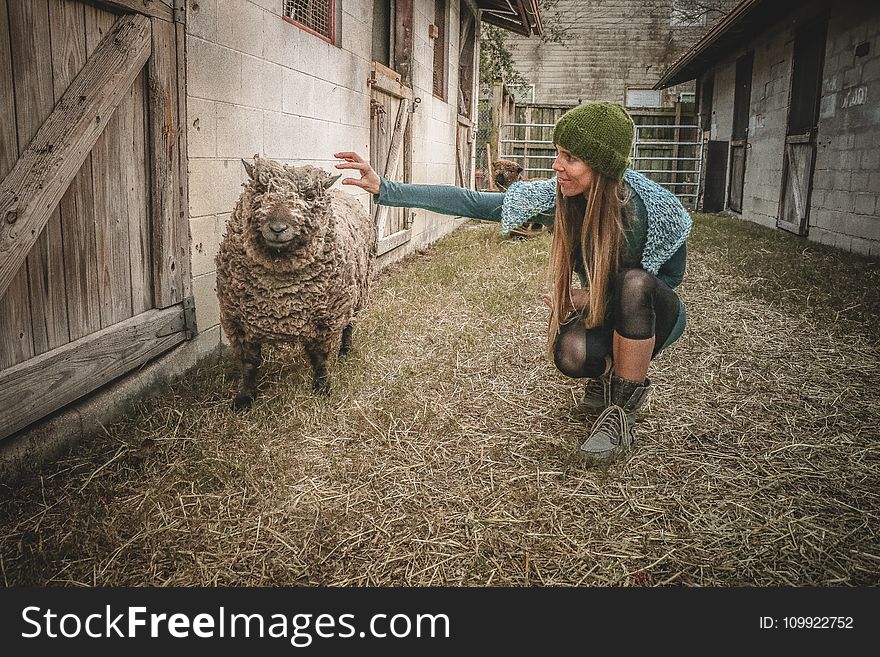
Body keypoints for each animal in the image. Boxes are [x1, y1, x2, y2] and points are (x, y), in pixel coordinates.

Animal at [218, 156, 376, 408]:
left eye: (310, 196)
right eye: (260, 189)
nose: (278, 228)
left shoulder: (325, 320)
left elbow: (320, 359)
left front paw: (322, 388)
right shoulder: (238, 321)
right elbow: (249, 363)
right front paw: (244, 398)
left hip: (358, 293)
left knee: (350, 324)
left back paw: (345, 350)